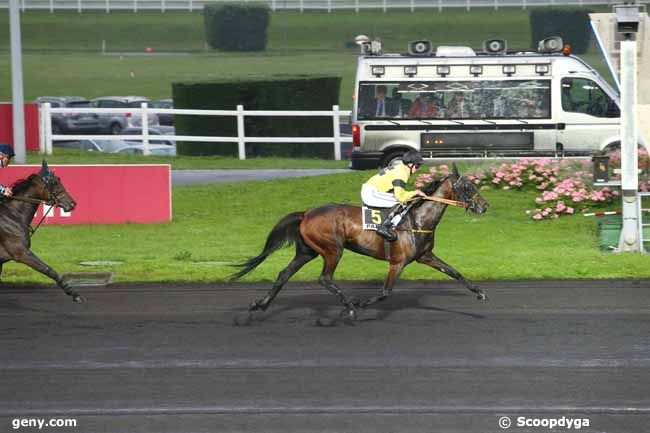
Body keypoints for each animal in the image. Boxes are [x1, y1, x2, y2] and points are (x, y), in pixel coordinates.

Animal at [0, 161, 82, 300]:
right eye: (54, 183)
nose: (72, 204)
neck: (13, 215)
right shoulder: (21, 253)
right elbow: (48, 269)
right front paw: (74, 293)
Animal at [230, 164, 488, 318]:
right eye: (467, 186)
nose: (484, 206)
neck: (417, 219)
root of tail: (307, 213)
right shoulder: (398, 262)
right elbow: (385, 292)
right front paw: (361, 303)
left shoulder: (426, 256)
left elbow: (455, 272)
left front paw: (480, 293)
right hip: (332, 250)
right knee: (325, 278)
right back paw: (350, 306)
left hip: (307, 251)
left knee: (284, 274)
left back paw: (260, 304)